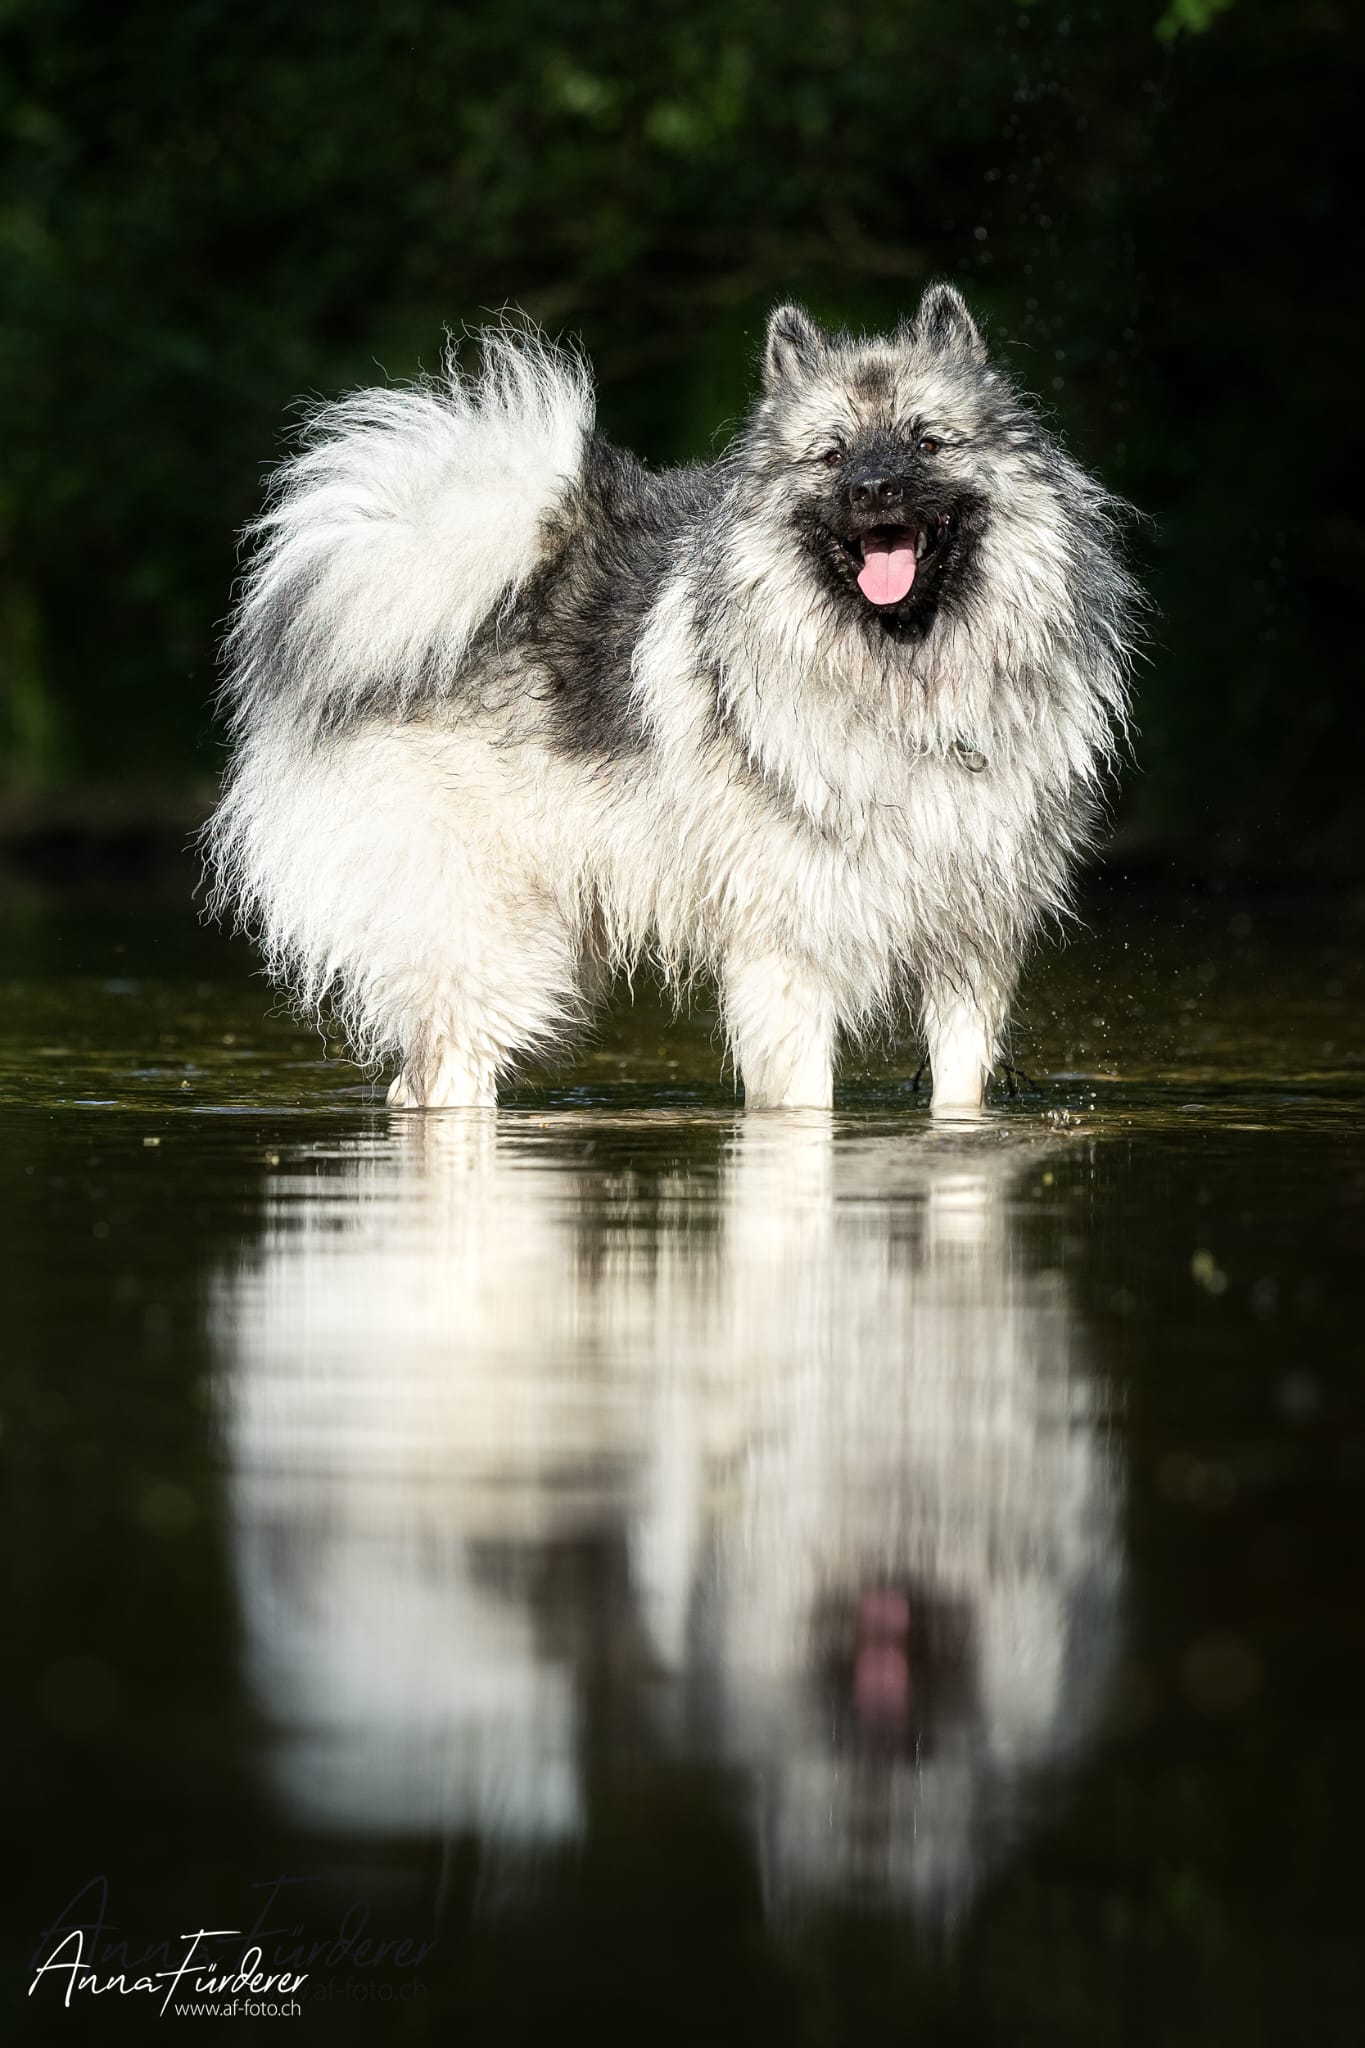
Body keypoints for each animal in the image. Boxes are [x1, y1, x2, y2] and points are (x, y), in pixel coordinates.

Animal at [205, 286, 1146, 1114]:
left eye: (925, 443)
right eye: (832, 454)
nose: (874, 490)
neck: (903, 676)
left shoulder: (970, 951)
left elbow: (959, 1093)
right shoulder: (787, 958)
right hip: (495, 952)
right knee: (442, 1076)